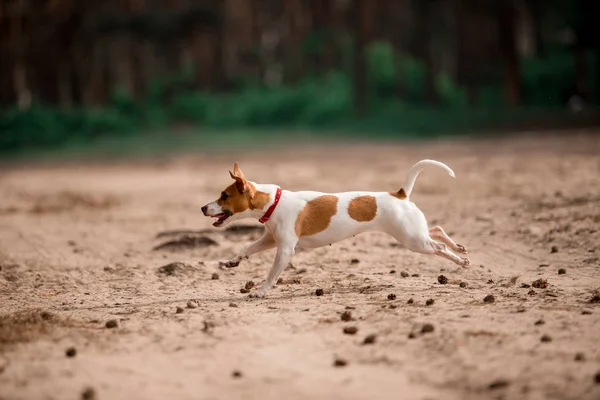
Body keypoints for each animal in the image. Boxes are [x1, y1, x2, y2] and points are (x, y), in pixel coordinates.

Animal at [204, 160, 472, 296]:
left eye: (224, 196)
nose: (202, 208)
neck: (274, 201)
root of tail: (399, 194)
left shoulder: (285, 249)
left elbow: (272, 274)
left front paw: (260, 291)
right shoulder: (270, 239)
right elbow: (247, 248)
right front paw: (233, 261)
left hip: (413, 240)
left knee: (438, 246)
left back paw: (460, 260)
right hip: (415, 235)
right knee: (436, 230)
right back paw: (459, 247)